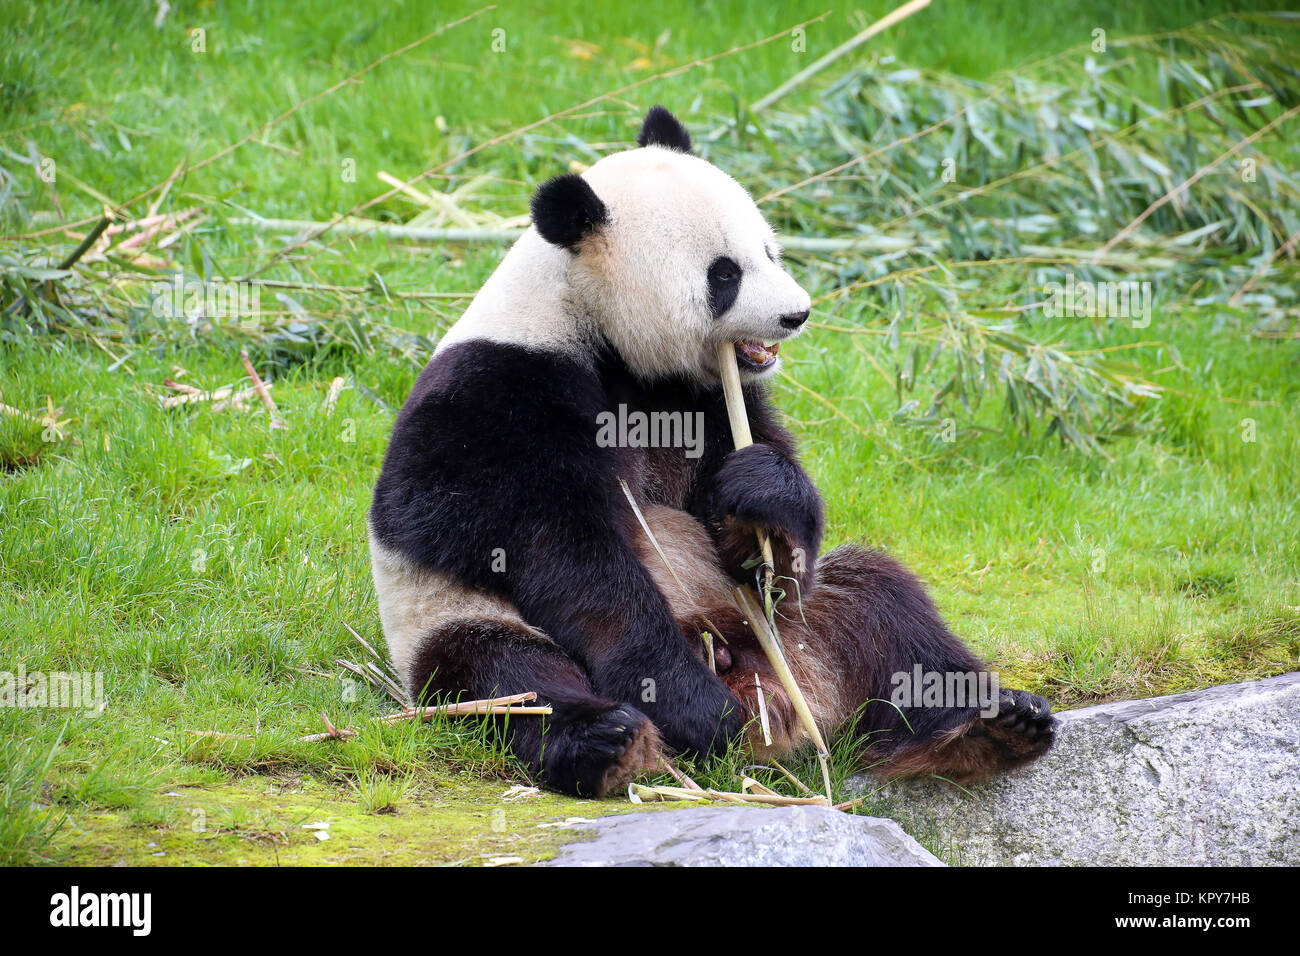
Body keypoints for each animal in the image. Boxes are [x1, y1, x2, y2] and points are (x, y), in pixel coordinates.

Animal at [369, 104, 1055, 796]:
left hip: (795, 624)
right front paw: (687, 703)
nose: (797, 314)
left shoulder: (701, 398)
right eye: (724, 273)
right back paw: (615, 739)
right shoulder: (499, 392)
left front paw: (762, 504)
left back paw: (989, 724)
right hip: (450, 620)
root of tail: (775, 698)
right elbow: (542, 543)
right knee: (507, 676)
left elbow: (750, 505)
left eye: (770, 249)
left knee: (885, 605)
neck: (589, 320)